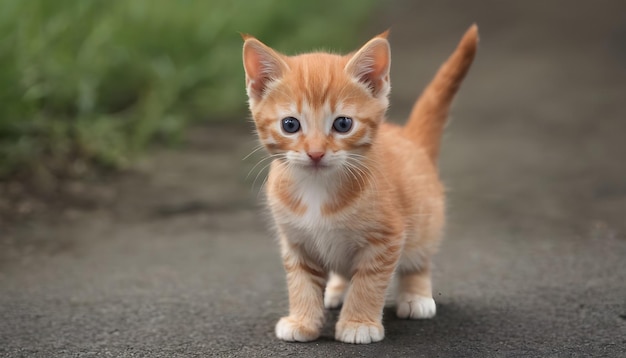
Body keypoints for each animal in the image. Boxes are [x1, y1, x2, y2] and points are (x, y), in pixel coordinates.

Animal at [241, 25, 476, 344]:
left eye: (343, 124)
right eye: (290, 125)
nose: (315, 152)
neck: (317, 188)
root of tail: (409, 138)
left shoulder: (387, 238)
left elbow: (369, 283)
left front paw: (358, 323)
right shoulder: (295, 241)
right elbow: (301, 282)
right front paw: (303, 320)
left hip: (424, 223)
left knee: (419, 259)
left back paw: (416, 296)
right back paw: (337, 291)